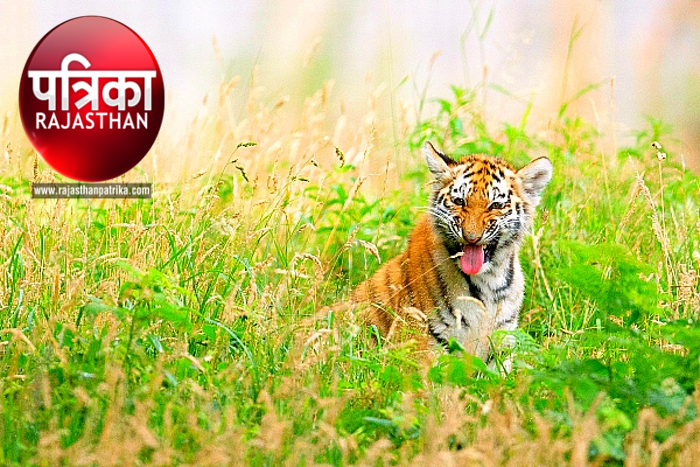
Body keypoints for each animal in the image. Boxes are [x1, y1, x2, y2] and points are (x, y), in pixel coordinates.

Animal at [337, 142, 553, 364]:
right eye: (459, 201)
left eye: (496, 205)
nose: (471, 237)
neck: (489, 279)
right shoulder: (423, 346)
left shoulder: (501, 344)